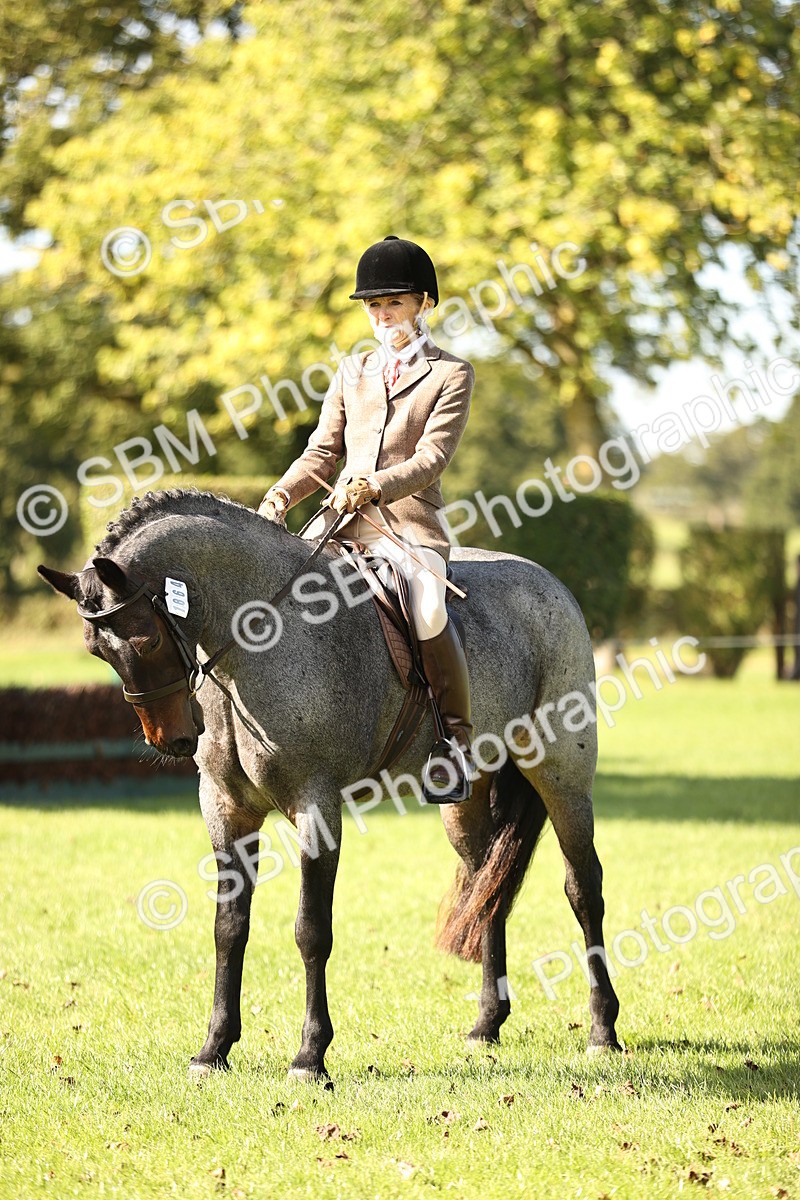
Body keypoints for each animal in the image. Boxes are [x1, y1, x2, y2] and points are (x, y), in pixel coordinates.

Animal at [38, 487, 621, 1080]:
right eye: (96, 650)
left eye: (148, 638)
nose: (173, 739)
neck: (260, 635)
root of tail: (550, 582)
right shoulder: (225, 809)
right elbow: (229, 927)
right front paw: (214, 1049)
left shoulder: (315, 806)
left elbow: (311, 930)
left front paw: (310, 1056)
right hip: (465, 803)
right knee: (486, 889)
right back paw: (486, 1025)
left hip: (562, 778)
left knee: (584, 889)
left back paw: (603, 1030)